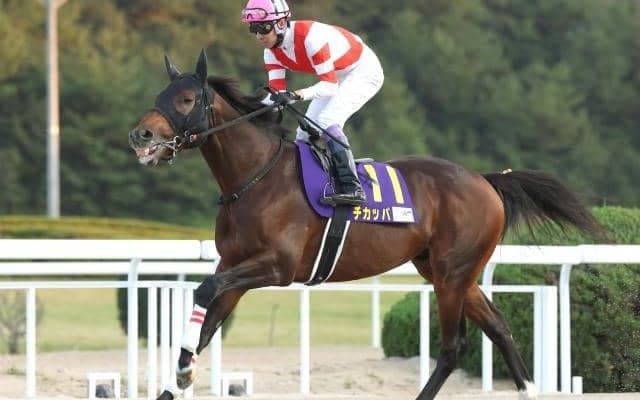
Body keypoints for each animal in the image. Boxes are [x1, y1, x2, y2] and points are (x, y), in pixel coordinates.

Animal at [128, 50, 605, 400]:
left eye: (187, 99)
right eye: (160, 94)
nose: (141, 136)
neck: (254, 178)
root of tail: (485, 180)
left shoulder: (277, 267)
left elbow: (204, 292)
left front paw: (184, 369)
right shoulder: (235, 267)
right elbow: (207, 324)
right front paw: (179, 377)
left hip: (452, 273)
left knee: (454, 348)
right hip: (446, 269)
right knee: (499, 327)